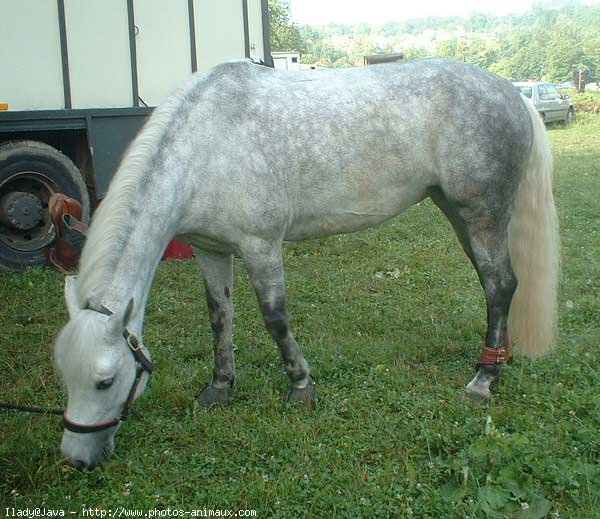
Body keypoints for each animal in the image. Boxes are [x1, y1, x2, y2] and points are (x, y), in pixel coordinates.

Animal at [54, 59, 560, 470]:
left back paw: (483, 379)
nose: (76, 459)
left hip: (481, 214)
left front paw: (300, 386)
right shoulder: (211, 249)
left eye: (105, 381)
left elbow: (274, 318)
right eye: (65, 376)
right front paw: (219, 388)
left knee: (499, 285)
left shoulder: (260, 246)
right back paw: (498, 359)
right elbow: (220, 317)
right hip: (457, 211)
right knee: (495, 285)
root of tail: (513, 92)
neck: (205, 146)